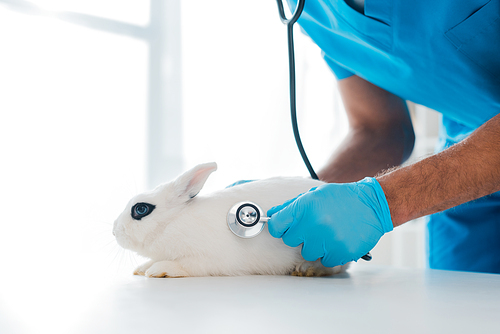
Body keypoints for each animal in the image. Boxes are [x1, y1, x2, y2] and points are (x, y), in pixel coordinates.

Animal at [113, 163, 348, 278]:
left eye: (141, 209)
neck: (172, 223)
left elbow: (184, 265)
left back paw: (308, 269)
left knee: (337, 267)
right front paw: (142, 268)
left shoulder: (208, 259)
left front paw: (158, 270)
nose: (115, 231)